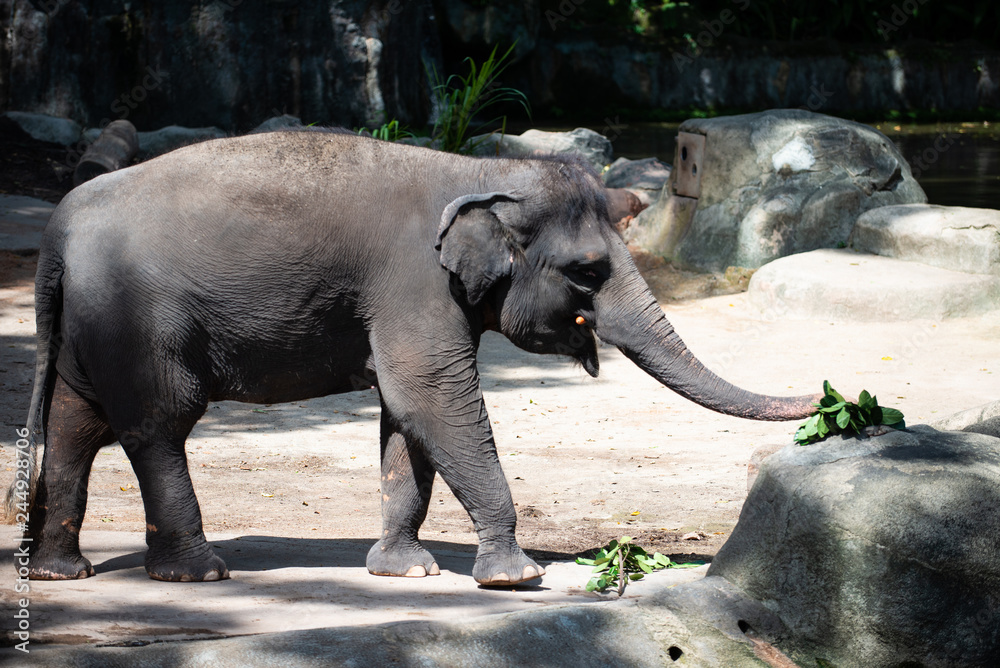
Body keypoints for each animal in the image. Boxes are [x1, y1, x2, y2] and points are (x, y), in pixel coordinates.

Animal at [5, 130, 820, 586]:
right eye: (588, 272)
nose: (827, 397)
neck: (480, 171)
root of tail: (58, 225)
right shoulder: (413, 284)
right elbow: (433, 396)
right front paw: (515, 578)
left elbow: (404, 417)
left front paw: (405, 569)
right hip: (140, 315)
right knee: (157, 422)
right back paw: (195, 573)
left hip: (88, 321)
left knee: (77, 420)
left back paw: (61, 570)